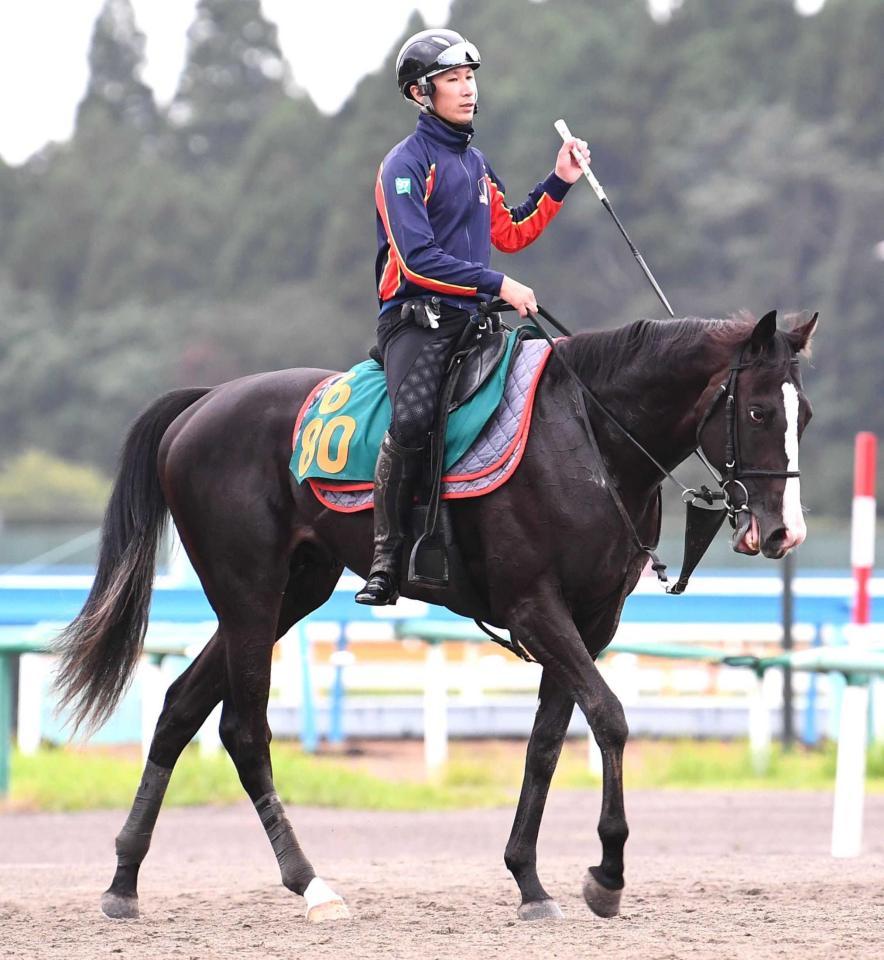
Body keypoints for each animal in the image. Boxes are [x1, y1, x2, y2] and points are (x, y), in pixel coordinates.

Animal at [53, 308, 816, 924]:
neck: (590, 438)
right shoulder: (536, 608)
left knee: (180, 707)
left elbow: (545, 744)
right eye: (757, 413)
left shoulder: (590, 622)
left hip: (287, 596)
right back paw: (310, 884)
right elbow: (609, 717)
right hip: (249, 596)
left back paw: (124, 880)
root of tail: (203, 404)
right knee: (245, 731)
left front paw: (529, 880)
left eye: (802, 415)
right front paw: (607, 873)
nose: (784, 532)